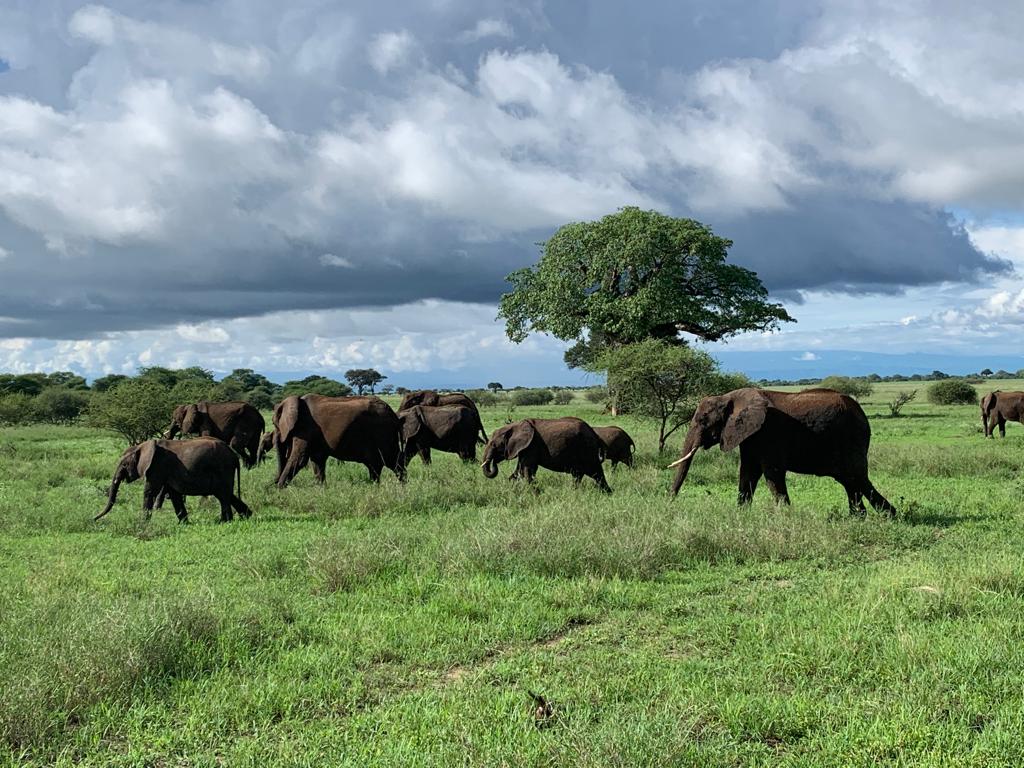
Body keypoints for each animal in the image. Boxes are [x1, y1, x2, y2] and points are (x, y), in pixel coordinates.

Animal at [94, 436, 251, 528]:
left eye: (125, 465)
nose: (94, 519)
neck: (143, 446)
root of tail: (234, 456)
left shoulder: (156, 466)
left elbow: (150, 492)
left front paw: (142, 524)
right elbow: (174, 494)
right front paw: (184, 524)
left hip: (223, 469)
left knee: (223, 496)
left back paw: (225, 521)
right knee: (227, 494)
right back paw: (246, 516)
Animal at [274, 397, 405, 487]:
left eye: (274, 424)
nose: (273, 482)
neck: (297, 400)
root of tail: (395, 417)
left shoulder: (305, 429)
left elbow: (299, 459)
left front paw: (279, 490)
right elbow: (317, 460)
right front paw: (321, 489)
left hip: (383, 434)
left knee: (392, 461)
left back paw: (402, 488)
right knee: (377, 466)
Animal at [667, 387, 892, 520]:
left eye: (702, 420)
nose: (669, 503)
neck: (728, 397)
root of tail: (861, 411)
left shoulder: (768, 432)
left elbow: (772, 473)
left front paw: (785, 517)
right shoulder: (749, 435)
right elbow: (747, 472)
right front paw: (742, 516)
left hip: (851, 438)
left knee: (857, 479)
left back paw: (887, 517)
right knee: (851, 482)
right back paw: (862, 519)